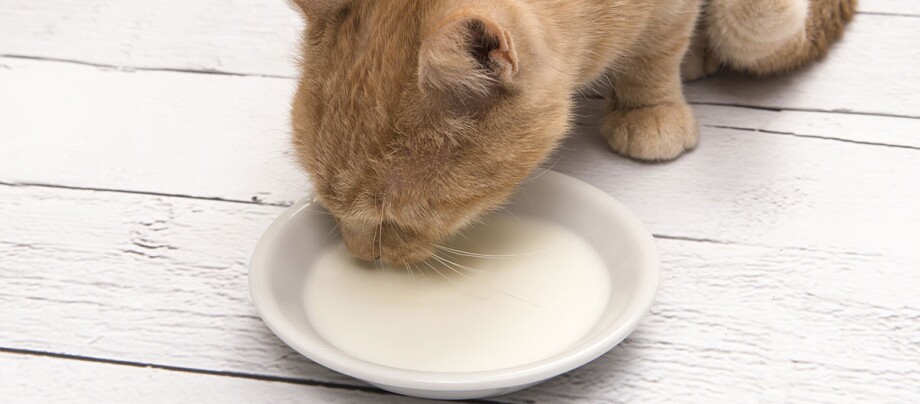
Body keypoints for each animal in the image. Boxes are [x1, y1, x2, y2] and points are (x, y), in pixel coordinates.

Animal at [288, 0, 856, 264]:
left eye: (398, 219)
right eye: (329, 204)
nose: (360, 255)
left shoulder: (668, 13)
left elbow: (658, 52)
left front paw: (649, 107)